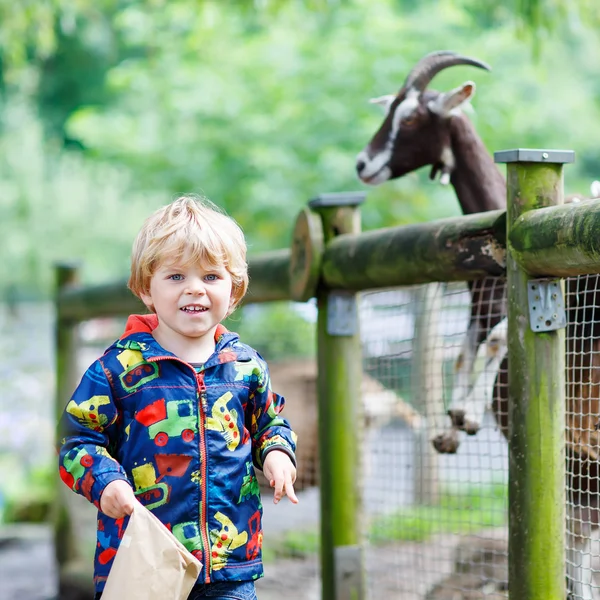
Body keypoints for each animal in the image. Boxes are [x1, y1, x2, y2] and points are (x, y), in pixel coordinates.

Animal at [356, 49, 600, 596]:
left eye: (413, 118)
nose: (363, 164)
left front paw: (464, 416)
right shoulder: (476, 308)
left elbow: (492, 342)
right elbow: (465, 351)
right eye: (390, 108)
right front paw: (449, 425)